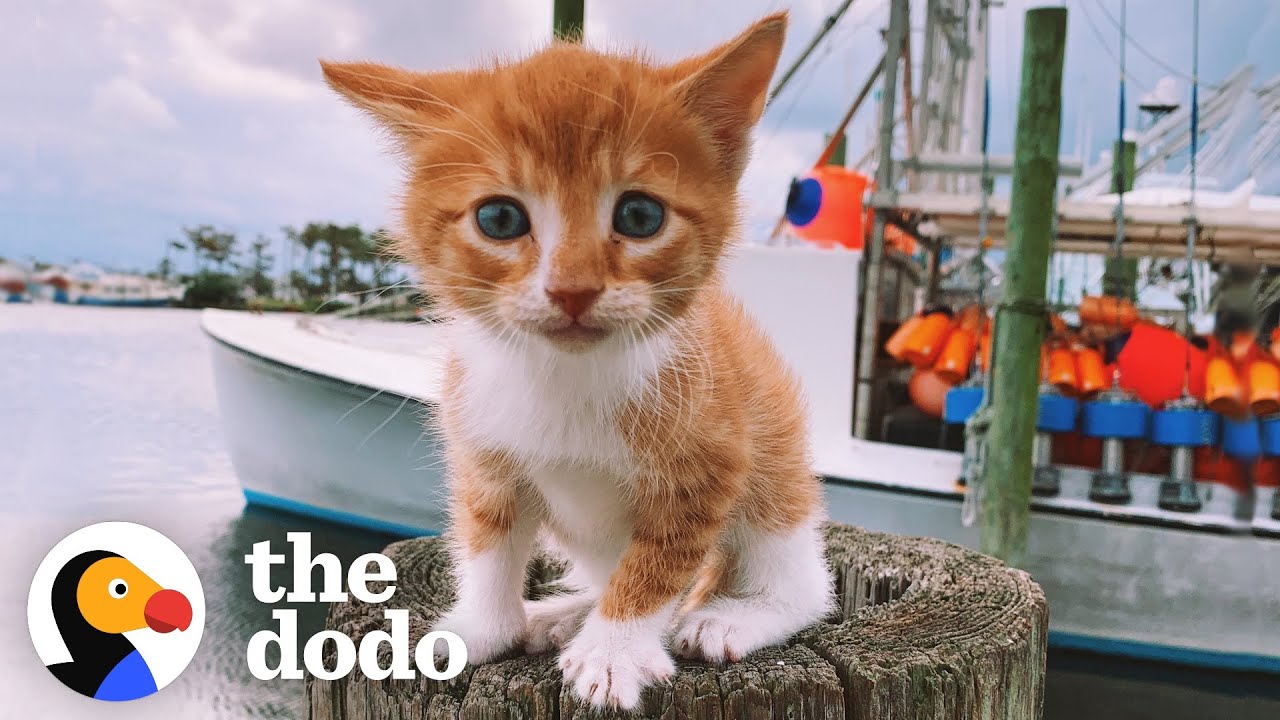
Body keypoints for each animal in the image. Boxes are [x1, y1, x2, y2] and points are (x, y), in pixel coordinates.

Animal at [325, 11, 834, 707]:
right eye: (499, 217)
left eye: (640, 215)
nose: (572, 290)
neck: (566, 373)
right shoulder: (484, 445)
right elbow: (487, 539)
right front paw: (480, 627)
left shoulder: (711, 462)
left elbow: (658, 563)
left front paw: (614, 650)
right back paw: (567, 613)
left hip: (774, 465)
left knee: (801, 583)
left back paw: (731, 616)